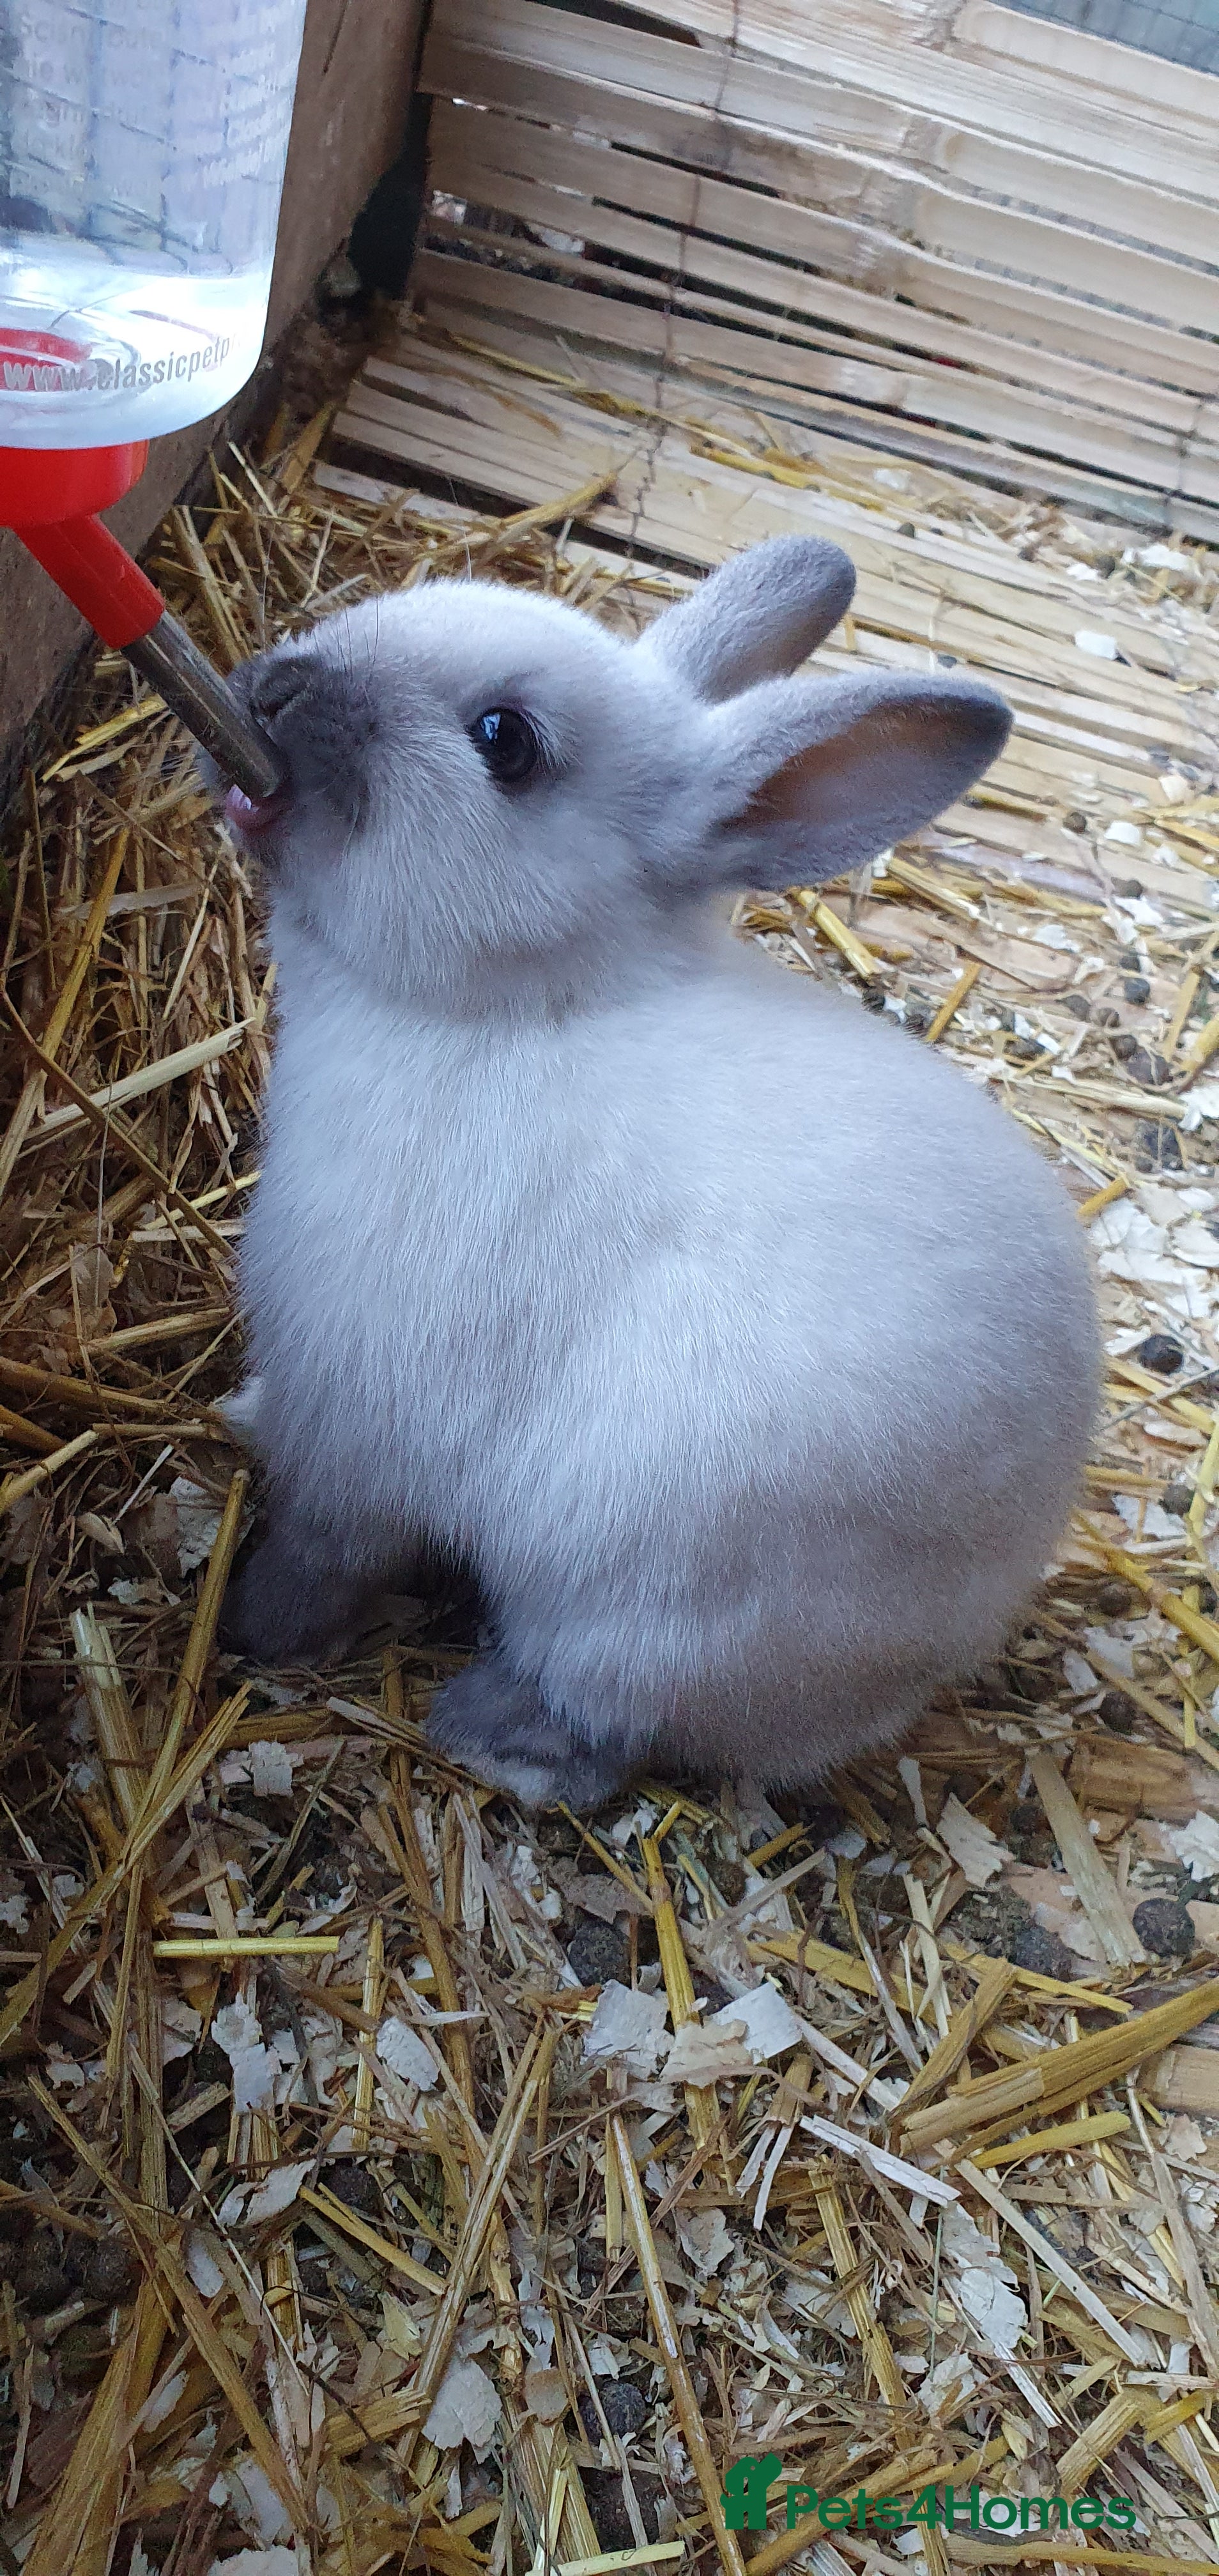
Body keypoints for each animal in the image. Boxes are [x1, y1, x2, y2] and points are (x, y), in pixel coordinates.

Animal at [216, 533, 1098, 1809]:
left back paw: (488, 1729)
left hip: (636, 1607)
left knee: (611, 1727)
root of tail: (943, 1650)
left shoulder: (360, 1421)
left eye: (505, 741)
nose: (273, 690)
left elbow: (324, 1548)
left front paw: (257, 1630)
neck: (518, 1007)